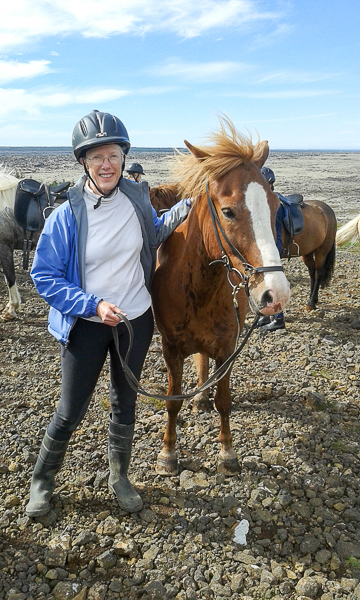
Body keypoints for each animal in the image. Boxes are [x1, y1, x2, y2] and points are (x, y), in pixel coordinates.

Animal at [151, 117, 290, 474]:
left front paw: (228, 452)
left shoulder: (228, 348)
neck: (200, 288)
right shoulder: (171, 349)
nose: (277, 293)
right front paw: (168, 452)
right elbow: (172, 401)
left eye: (275, 207)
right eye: (228, 212)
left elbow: (224, 401)